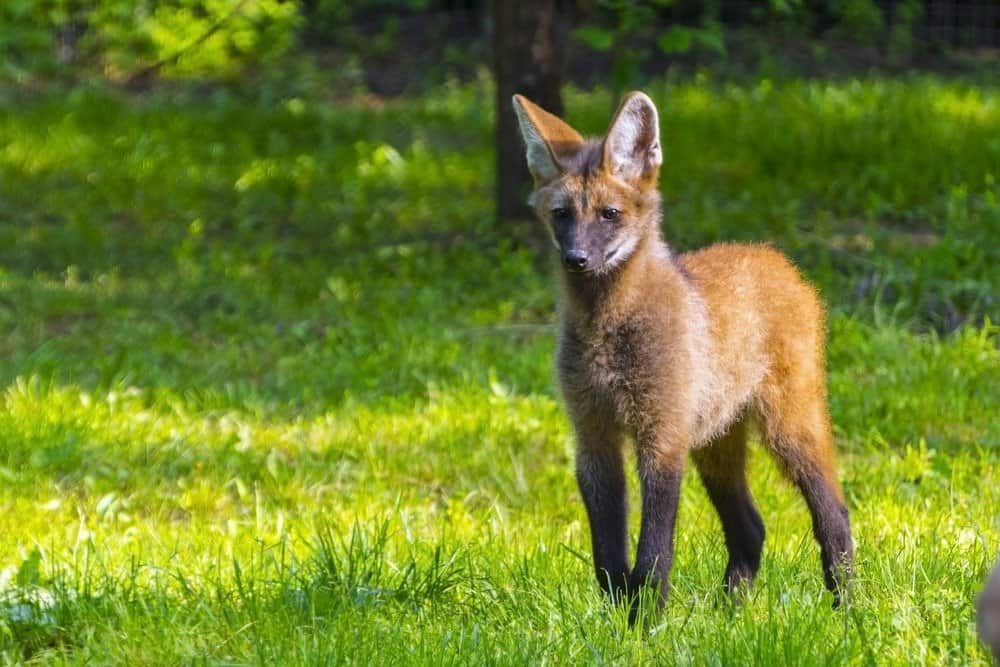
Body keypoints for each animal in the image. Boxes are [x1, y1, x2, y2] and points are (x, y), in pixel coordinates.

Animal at [516, 91, 852, 620]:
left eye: (609, 214)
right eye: (562, 214)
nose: (577, 260)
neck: (608, 334)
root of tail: (775, 256)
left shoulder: (662, 437)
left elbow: (654, 554)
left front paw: (643, 624)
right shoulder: (594, 437)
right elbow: (608, 557)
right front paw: (617, 620)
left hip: (786, 428)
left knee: (834, 514)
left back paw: (847, 612)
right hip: (714, 442)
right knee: (751, 527)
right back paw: (729, 616)